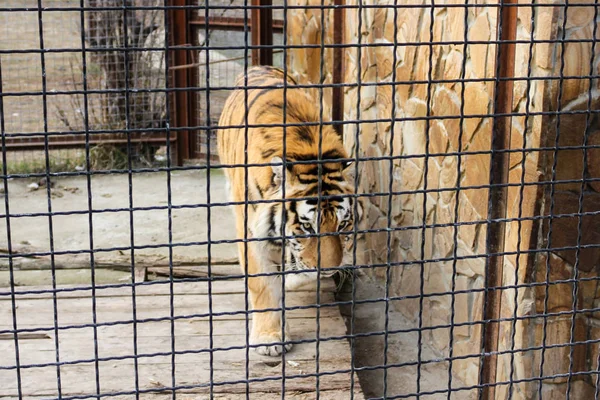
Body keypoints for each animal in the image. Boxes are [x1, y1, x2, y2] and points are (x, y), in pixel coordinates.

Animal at [217, 65, 358, 356]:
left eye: (342, 225)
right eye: (306, 227)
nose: (329, 269)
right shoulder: (251, 233)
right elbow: (263, 284)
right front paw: (269, 338)